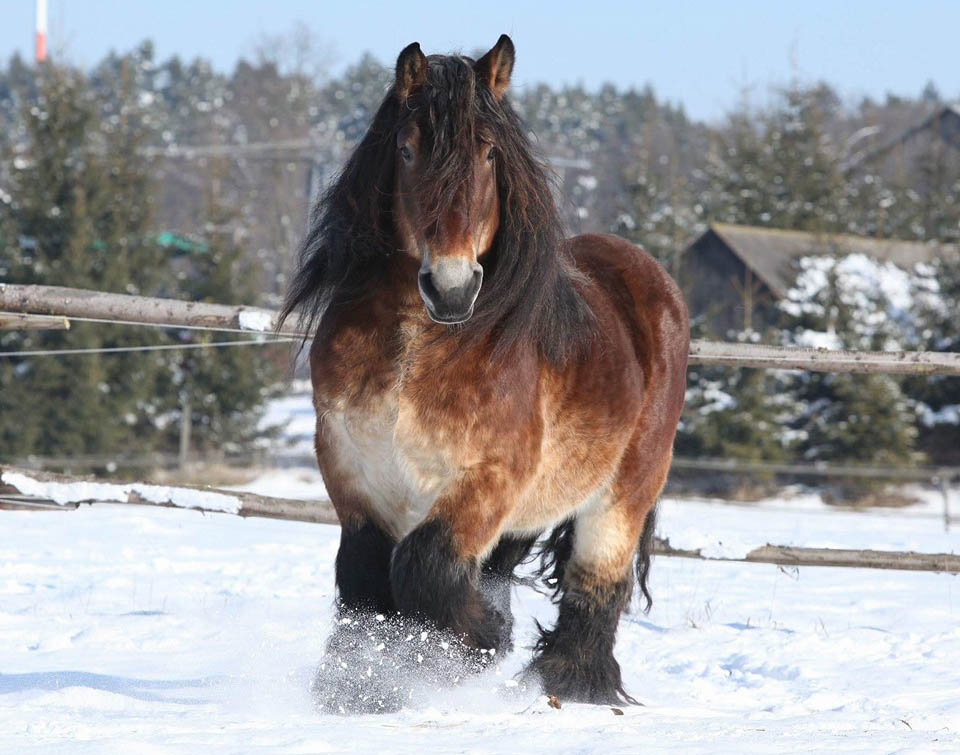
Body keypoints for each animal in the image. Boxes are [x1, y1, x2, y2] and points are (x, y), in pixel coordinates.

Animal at [278, 34, 688, 708]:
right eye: (407, 148)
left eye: (490, 152)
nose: (450, 288)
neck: (416, 347)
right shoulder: (351, 471)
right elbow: (364, 578)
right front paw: (359, 691)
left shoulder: (487, 479)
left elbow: (425, 566)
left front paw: (478, 643)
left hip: (620, 496)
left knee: (596, 587)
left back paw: (573, 687)